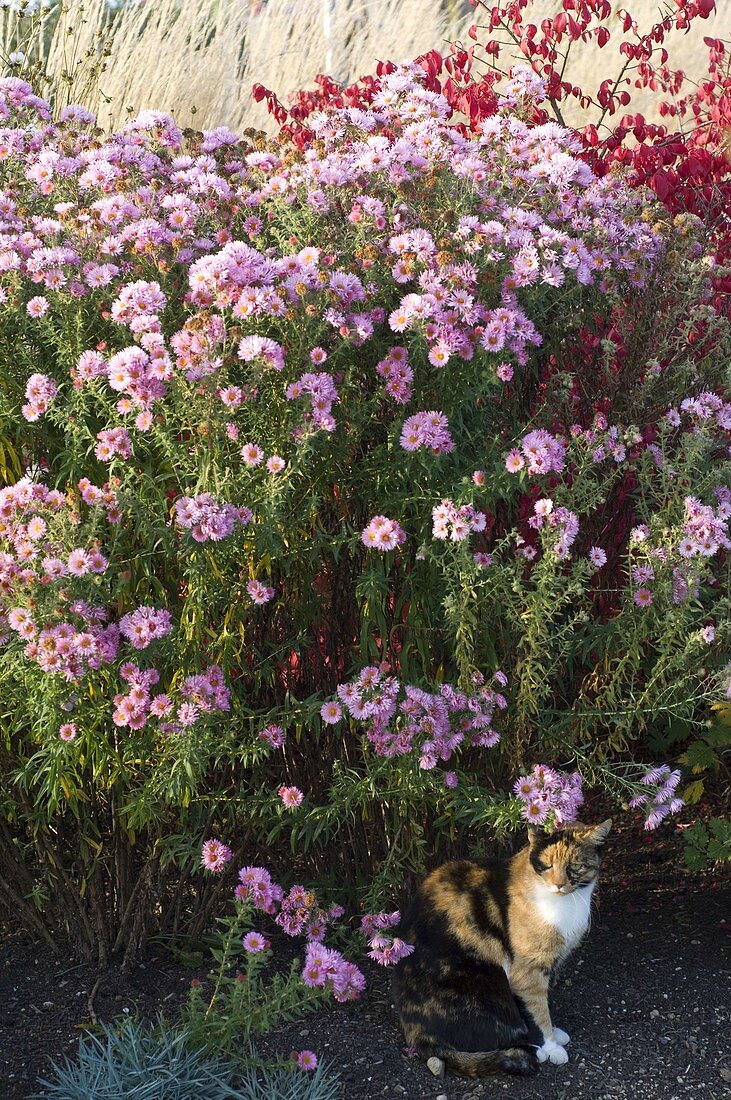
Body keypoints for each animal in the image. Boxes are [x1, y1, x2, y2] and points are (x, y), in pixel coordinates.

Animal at [393, 822, 611, 1078]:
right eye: (546, 865)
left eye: (574, 866)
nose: (558, 884)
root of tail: (413, 1029)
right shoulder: (527, 971)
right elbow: (537, 1009)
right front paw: (550, 1045)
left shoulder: (550, 965)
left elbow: (543, 1003)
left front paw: (553, 1032)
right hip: (486, 980)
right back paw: (532, 1050)